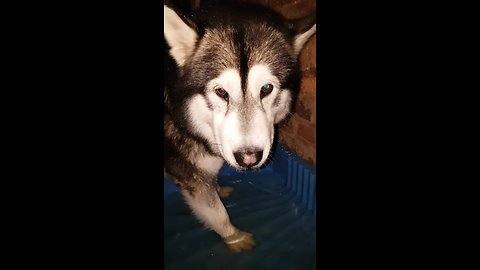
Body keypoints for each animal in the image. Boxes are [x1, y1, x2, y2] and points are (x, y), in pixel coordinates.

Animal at [163, 0, 316, 253]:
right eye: (220, 92)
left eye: (266, 89)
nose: (249, 158)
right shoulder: (189, 172)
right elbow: (217, 212)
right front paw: (234, 237)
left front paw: (218, 188)